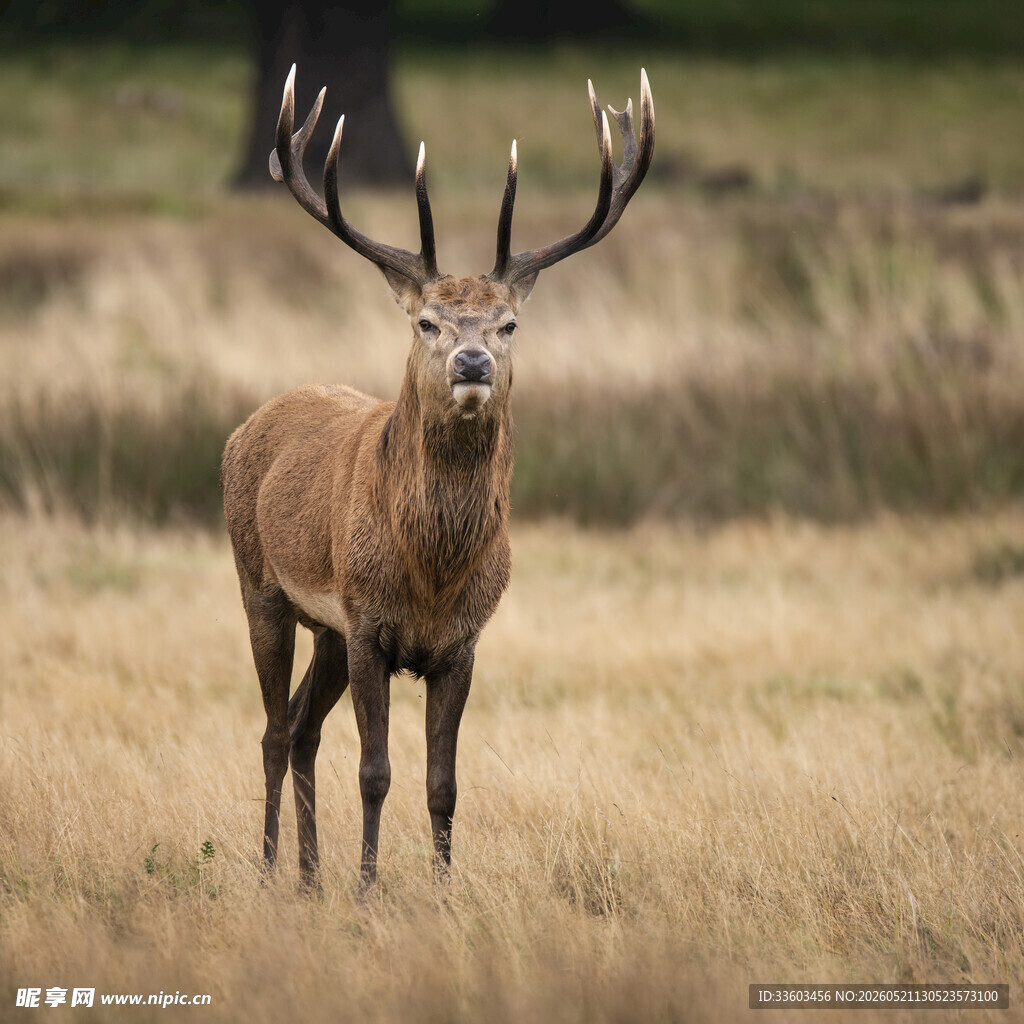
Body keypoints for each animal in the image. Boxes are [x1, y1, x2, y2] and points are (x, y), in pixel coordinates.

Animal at [221, 63, 654, 891]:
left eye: (508, 323)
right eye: (427, 321)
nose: (472, 361)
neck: (431, 572)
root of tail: (247, 425)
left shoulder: (460, 642)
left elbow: (443, 782)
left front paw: (443, 893)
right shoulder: (369, 624)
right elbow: (376, 772)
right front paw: (367, 891)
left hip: (327, 629)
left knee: (300, 728)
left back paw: (309, 879)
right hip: (260, 584)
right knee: (270, 731)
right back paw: (269, 872)